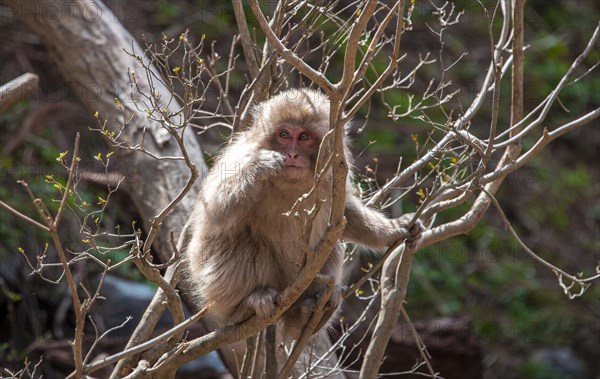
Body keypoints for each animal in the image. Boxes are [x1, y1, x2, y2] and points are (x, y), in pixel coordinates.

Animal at [185, 88, 424, 342]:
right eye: (283, 134)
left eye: (304, 137)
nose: (291, 155)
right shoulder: (240, 157)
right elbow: (215, 214)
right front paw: (260, 167)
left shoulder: (334, 174)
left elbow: (344, 215)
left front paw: (392, 230)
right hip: (213, 286)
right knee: (242, 240)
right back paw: (248, 304)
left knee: (328, 244)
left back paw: (308, 312)